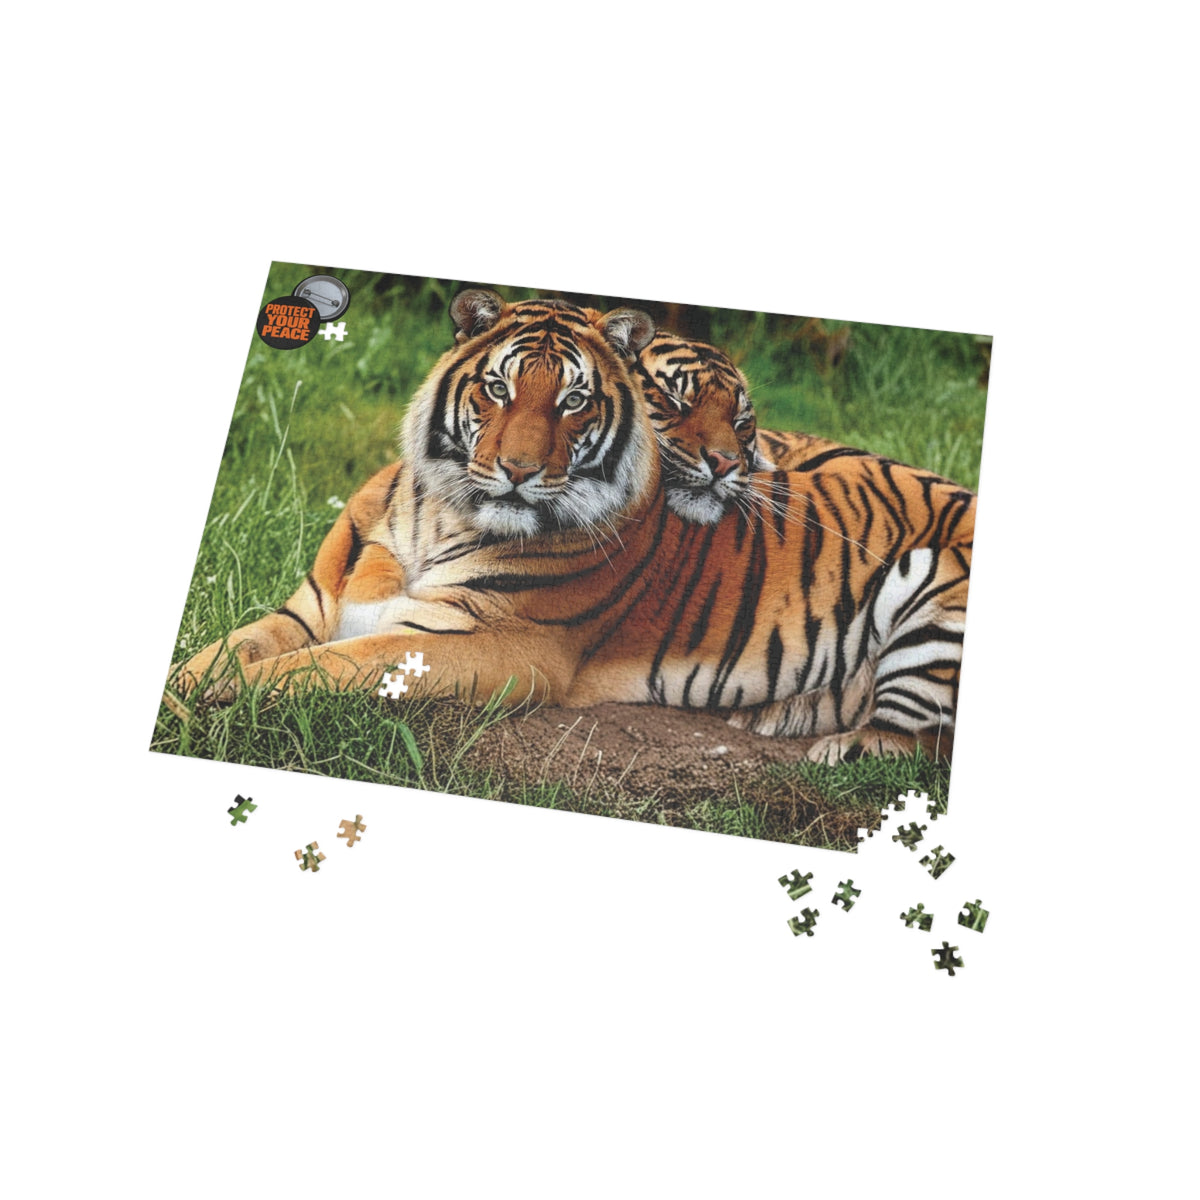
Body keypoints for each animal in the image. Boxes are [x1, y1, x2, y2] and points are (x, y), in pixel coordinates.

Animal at [176, 290, 974, 763]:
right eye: (497, 388)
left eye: (573, 402)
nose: (520, 470)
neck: (437, 515)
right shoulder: (308, 608)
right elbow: (228, 651)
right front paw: (185, 691)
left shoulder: (487, 641)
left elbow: (322, 667)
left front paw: (226, 703)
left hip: (937, 610)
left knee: (912, 745)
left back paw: (832, 746)